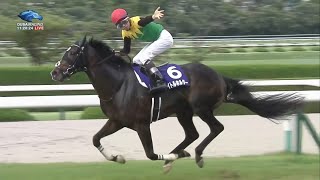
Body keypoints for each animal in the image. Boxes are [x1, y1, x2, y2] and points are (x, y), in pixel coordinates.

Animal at [50, 35, 304, 172]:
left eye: (72, 53)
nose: (55, 72)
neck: (118, 84)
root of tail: (219, 76)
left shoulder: (142, 124)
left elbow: (151, 154)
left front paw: (172, 157)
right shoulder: (116, 121)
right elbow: (95, 139)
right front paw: (117, 158)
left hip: (201, 107)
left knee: (215, 128)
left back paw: (195, 155)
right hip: (184, 112)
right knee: (192, 134)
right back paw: (179, 154)